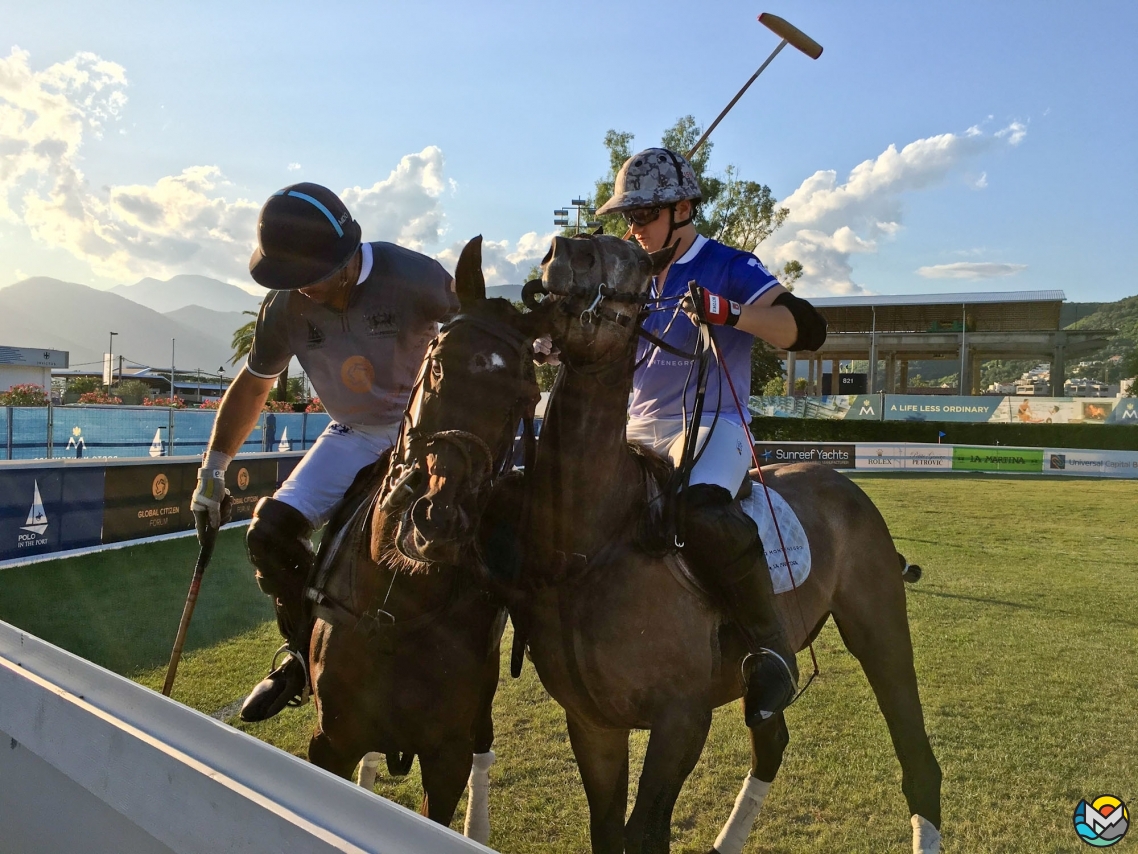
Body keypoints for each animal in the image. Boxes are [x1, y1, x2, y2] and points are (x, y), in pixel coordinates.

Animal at [300, 235, 543, 842]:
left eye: (526, 397)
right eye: (435, 364)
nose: (434, 519)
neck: (396, 603)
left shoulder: (445, 755)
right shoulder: (329, 741)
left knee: (484, 749)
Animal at [400, 231, 942, 851]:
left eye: (636, 270)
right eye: (434, 365)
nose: (565, 249)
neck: (591, 541)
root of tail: (840, 479)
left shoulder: (681, 719)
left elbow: (645, 830)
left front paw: (713, 306)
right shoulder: (592, 723)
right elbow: (608, 828)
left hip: (878, 626)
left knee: (916, 752)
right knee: (771, 739)